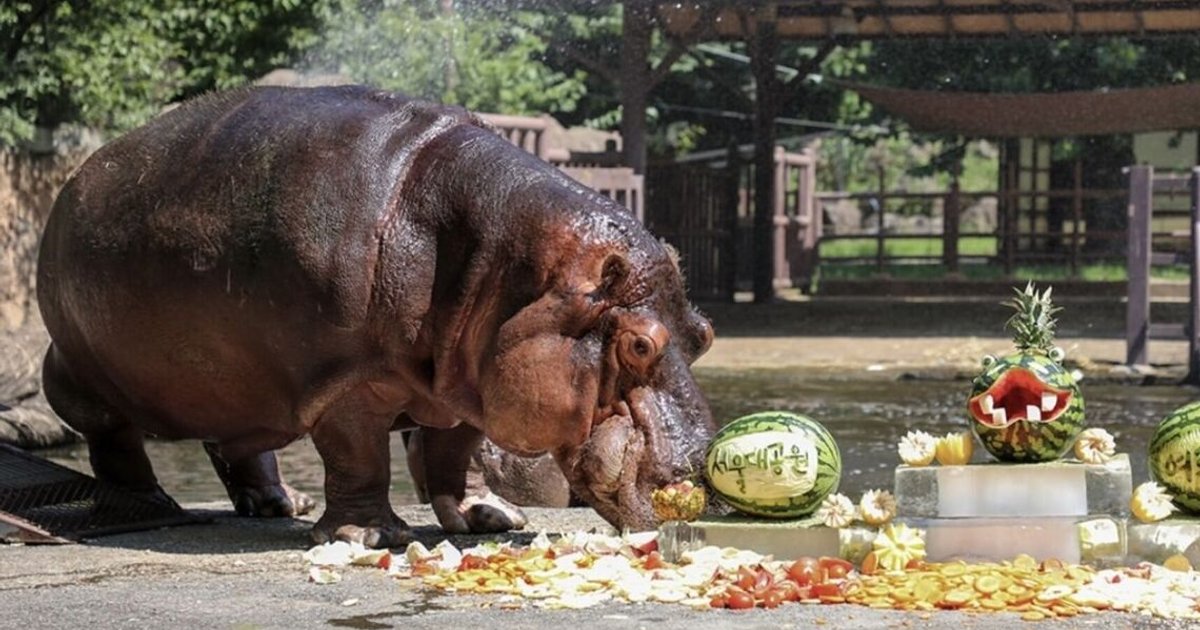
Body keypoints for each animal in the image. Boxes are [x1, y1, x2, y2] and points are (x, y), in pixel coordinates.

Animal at [37, 85, 715, 547]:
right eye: (638, 345)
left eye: (703, 335)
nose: (701, 476)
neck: (501, 262)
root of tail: (76, 180)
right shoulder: (347, 379)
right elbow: (359, 453)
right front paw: (370, 536)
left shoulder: (463, 380)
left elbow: (455, 450)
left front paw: (489, 517)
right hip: (78, 373)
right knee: (112, 439)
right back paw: (150, 502)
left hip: (237, 384)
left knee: (237, 443)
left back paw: (282, 504)